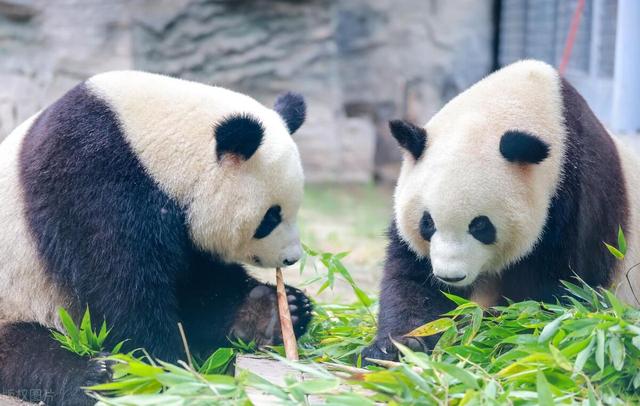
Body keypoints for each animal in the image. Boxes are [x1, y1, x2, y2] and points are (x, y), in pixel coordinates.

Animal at [0, 71, 312, 404]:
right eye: (270, 217)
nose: (291, 257)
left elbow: (198, 283)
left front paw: (275, 311)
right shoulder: (88, 175)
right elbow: (119, 282)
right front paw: (166, 366)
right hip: (21, 300)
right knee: (30, 353)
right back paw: (101, 375)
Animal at [362, 60, 640, 362]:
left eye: (480, 226)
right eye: (427, 223)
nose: (450, 277)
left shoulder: (576, 200)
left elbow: (557, 290)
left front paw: (499, 335)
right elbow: (411, 280)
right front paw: (397, 346)